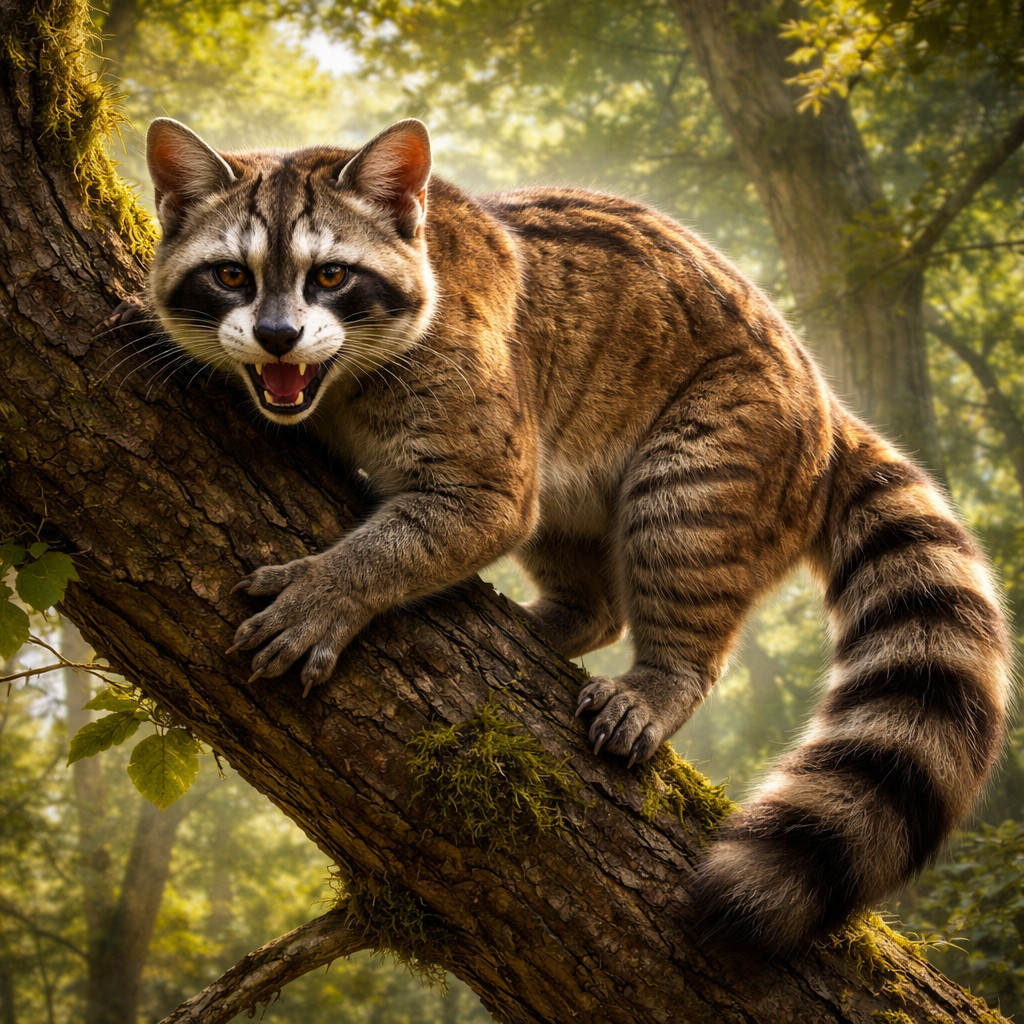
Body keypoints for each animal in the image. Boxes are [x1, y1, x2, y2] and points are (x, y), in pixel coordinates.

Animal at [142, 116, 1011, 955]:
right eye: (231, 275)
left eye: (331, 276)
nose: (277, 337)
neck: (337, 382)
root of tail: (826, 407)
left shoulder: (473, 387)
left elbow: (475, 510)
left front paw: (338, 585)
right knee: (586, 579)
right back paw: (562, 618)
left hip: (724, 444)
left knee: (679, 532)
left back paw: (667, 675)